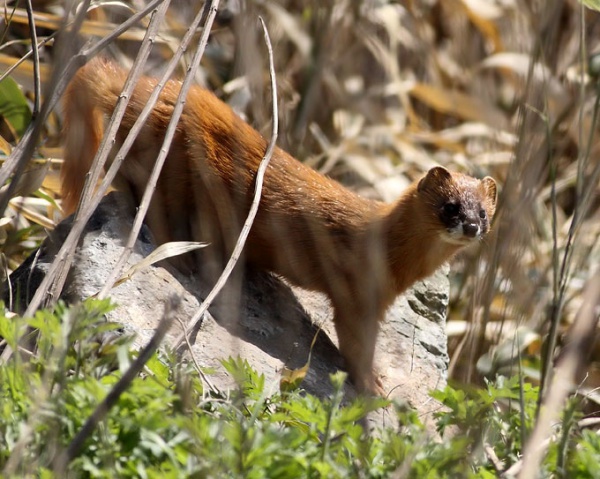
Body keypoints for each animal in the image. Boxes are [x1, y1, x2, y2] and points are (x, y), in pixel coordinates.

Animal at [59, 57, 496, 394]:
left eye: (484, 213)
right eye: (450, 207)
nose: (471, 227)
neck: (396, 260)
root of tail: (139, 85)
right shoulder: (356, 291)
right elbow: (355, 341)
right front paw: (372, 384)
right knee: (152, 206)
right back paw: (181, 258)